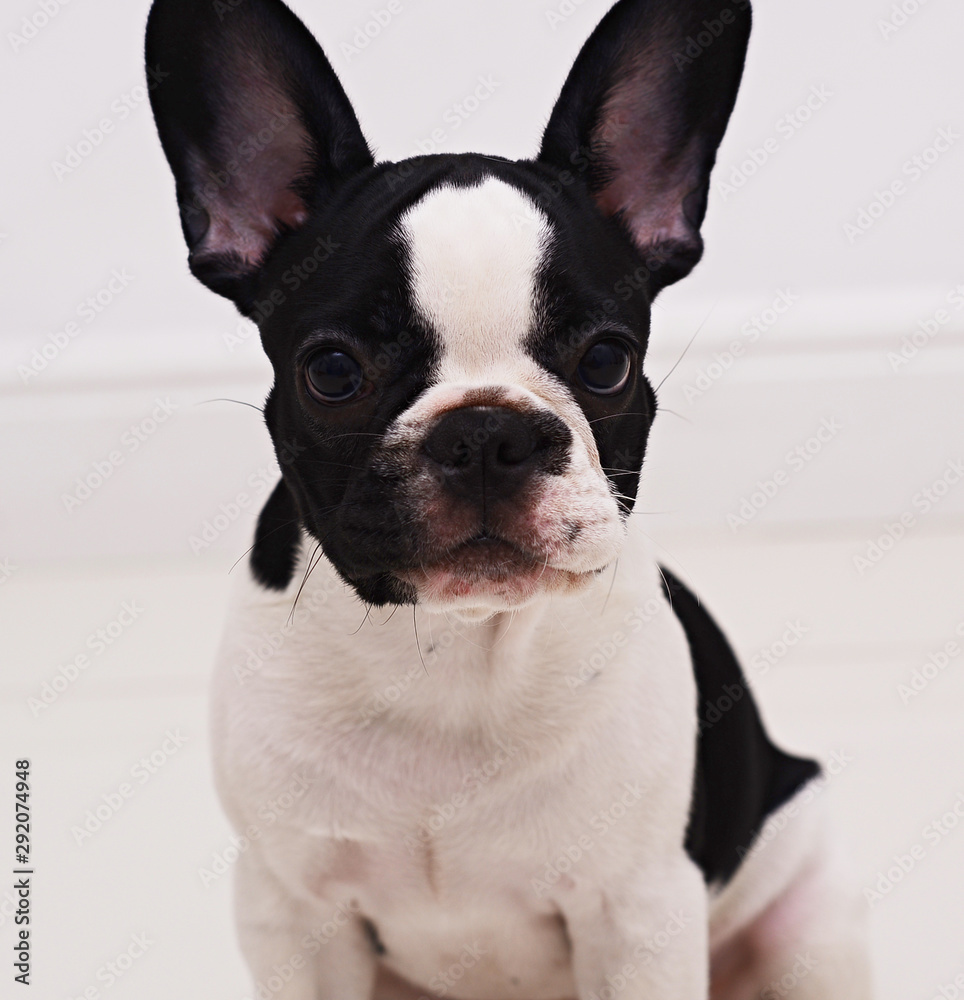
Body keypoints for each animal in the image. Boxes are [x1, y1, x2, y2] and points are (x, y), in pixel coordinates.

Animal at [145, 0, 872, 996]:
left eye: (606, 361)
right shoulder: (293, 912)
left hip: (809, 911)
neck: (453, 651)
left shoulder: (637, 914)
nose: (487, 433)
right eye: (332, 371)